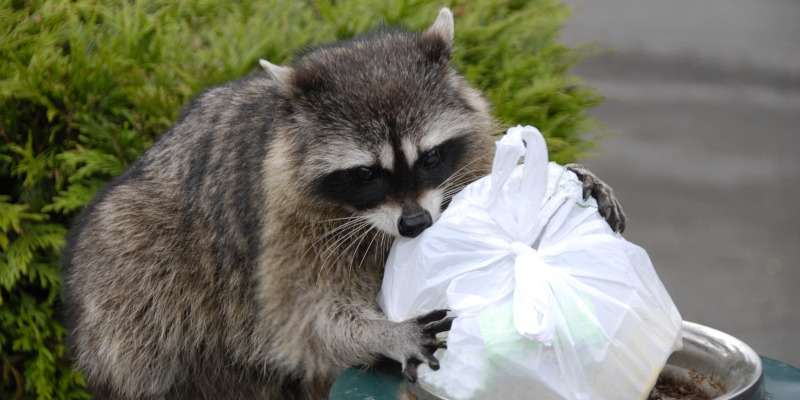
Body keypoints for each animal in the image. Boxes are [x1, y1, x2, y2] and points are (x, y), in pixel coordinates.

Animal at [62, 8, 625, 400]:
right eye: (365, 174)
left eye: (430, 157)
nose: (416, 224)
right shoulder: (283, 228)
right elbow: (301, 323)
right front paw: (383, 332)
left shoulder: (465, 157)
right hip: (128, 267)